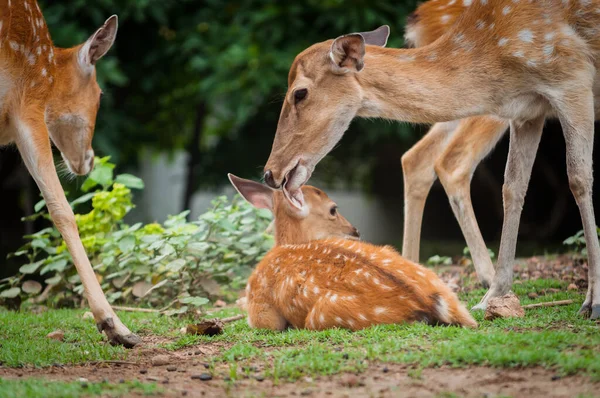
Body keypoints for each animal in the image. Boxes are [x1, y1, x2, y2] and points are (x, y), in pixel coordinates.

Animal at [227, 173, 476, 332]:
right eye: (333, 209)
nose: (355, 230)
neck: (284, 245)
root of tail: (427, 303)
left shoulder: (261, 308)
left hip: (323, 314)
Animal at [264, 0, 600, 318]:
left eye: (299, 93)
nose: (270, 173)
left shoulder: (572, 80)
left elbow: (577, 179)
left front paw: (592, 301)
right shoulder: (527, 110)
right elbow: (513, 188)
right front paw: (491, 297)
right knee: (434, 160)